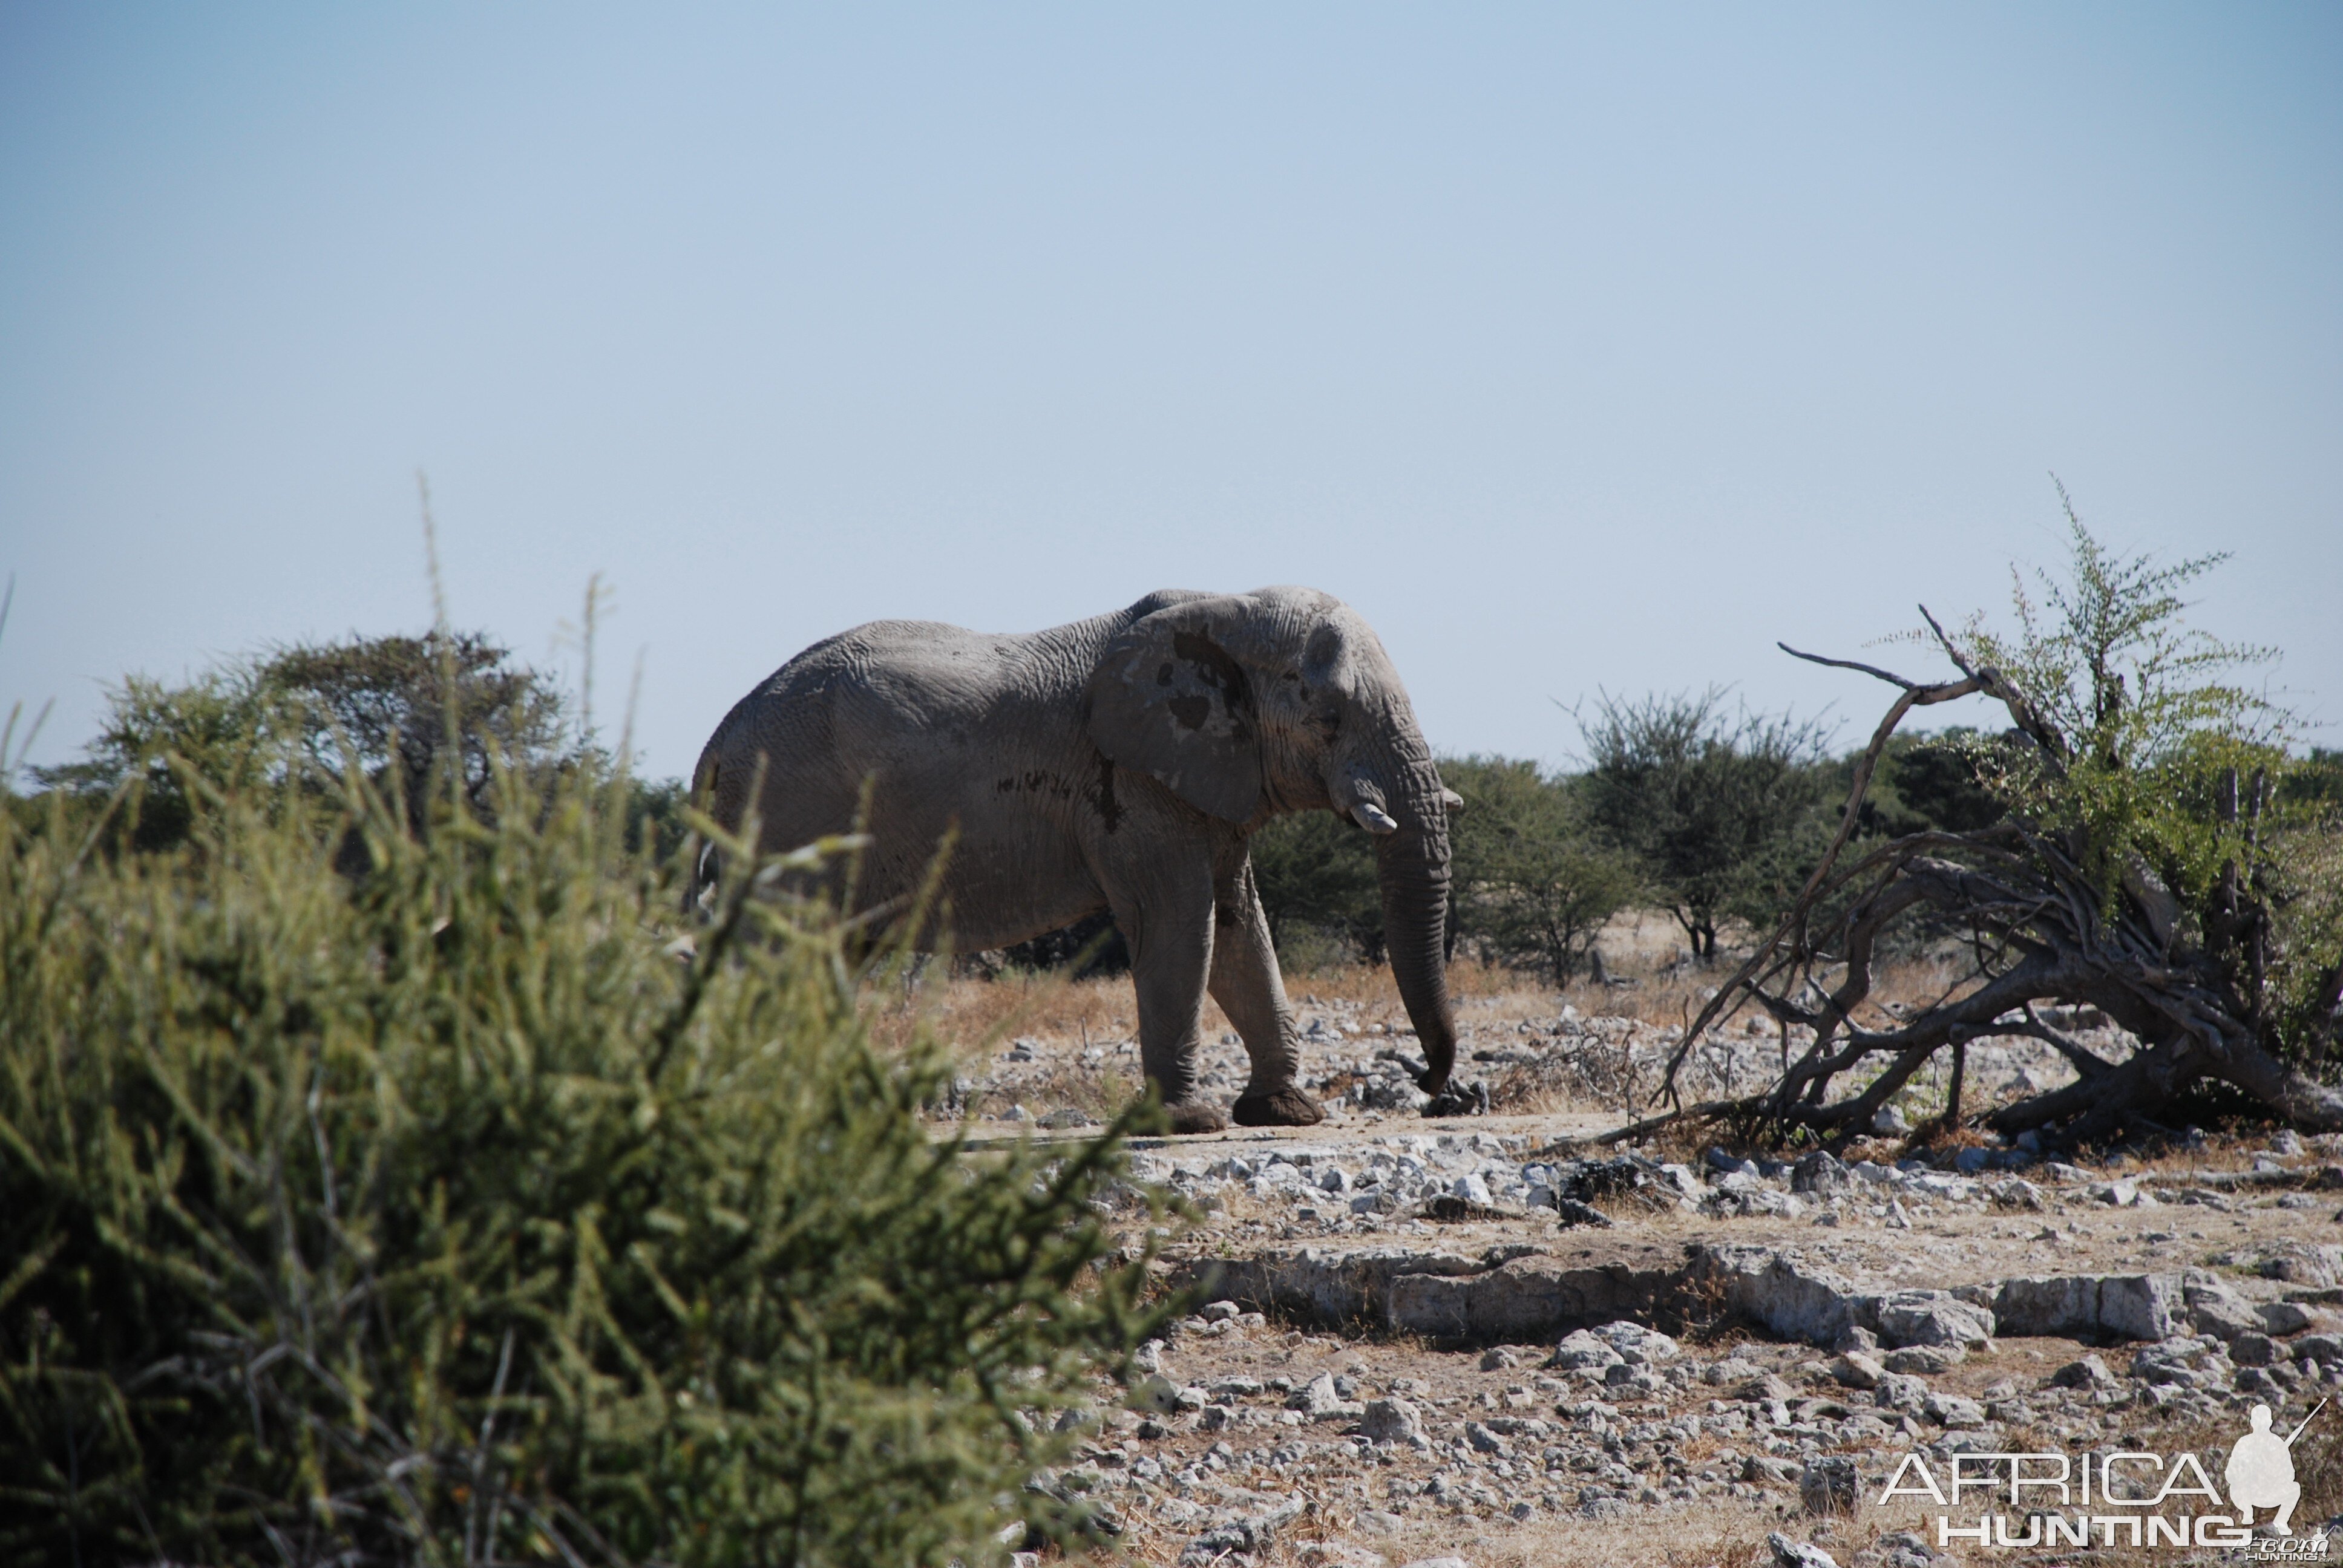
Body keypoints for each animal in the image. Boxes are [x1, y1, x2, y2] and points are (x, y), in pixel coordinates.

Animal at [693, 581, 1452, 1129]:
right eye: (1328, 720)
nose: (1432, 1086)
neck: (1226, 610)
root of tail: (724, 731)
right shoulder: (1131, 784)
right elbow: (1181, 923)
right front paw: (1189, 1122)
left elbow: (1242, 929)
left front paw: (1284, 1112)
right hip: (788, 812)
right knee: (785, 953)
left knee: (829, 959)